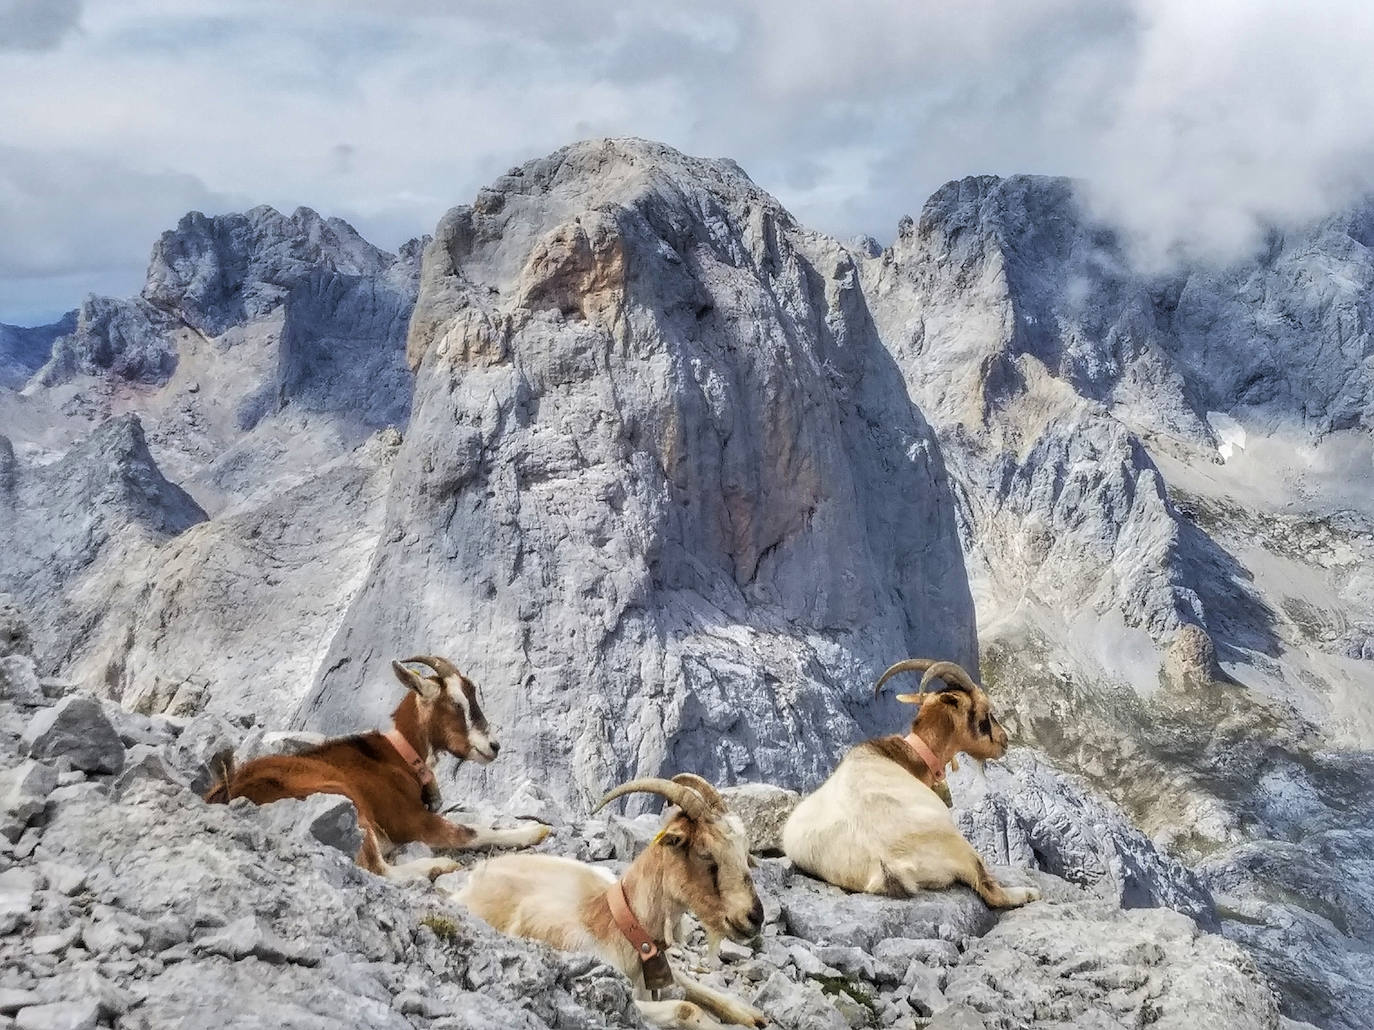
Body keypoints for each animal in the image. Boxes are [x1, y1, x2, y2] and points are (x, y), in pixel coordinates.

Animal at [203, 656, 546, 884]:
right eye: (455, 704)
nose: (494, 746)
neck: (402, 756)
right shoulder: (409, 820)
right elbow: (473, 831)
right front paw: (534, 830)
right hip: (342, 799)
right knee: (378, 869)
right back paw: (439, 866)